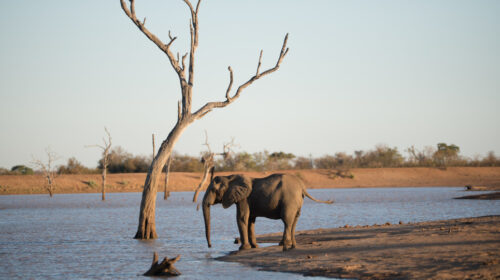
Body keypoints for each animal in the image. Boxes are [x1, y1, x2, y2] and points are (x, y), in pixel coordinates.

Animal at [201, 174, 334, 250]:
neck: (229, 177)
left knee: (286, 220)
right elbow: (250, 220)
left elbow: (241, 218)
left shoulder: (244, 199)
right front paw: (254, 247)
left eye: (213, 190)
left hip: (289, 199)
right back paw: (291, 245)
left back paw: (284, 245)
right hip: (298, 201)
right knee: (294, 220)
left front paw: (243, 248)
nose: (210, 246)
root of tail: (302, 187)